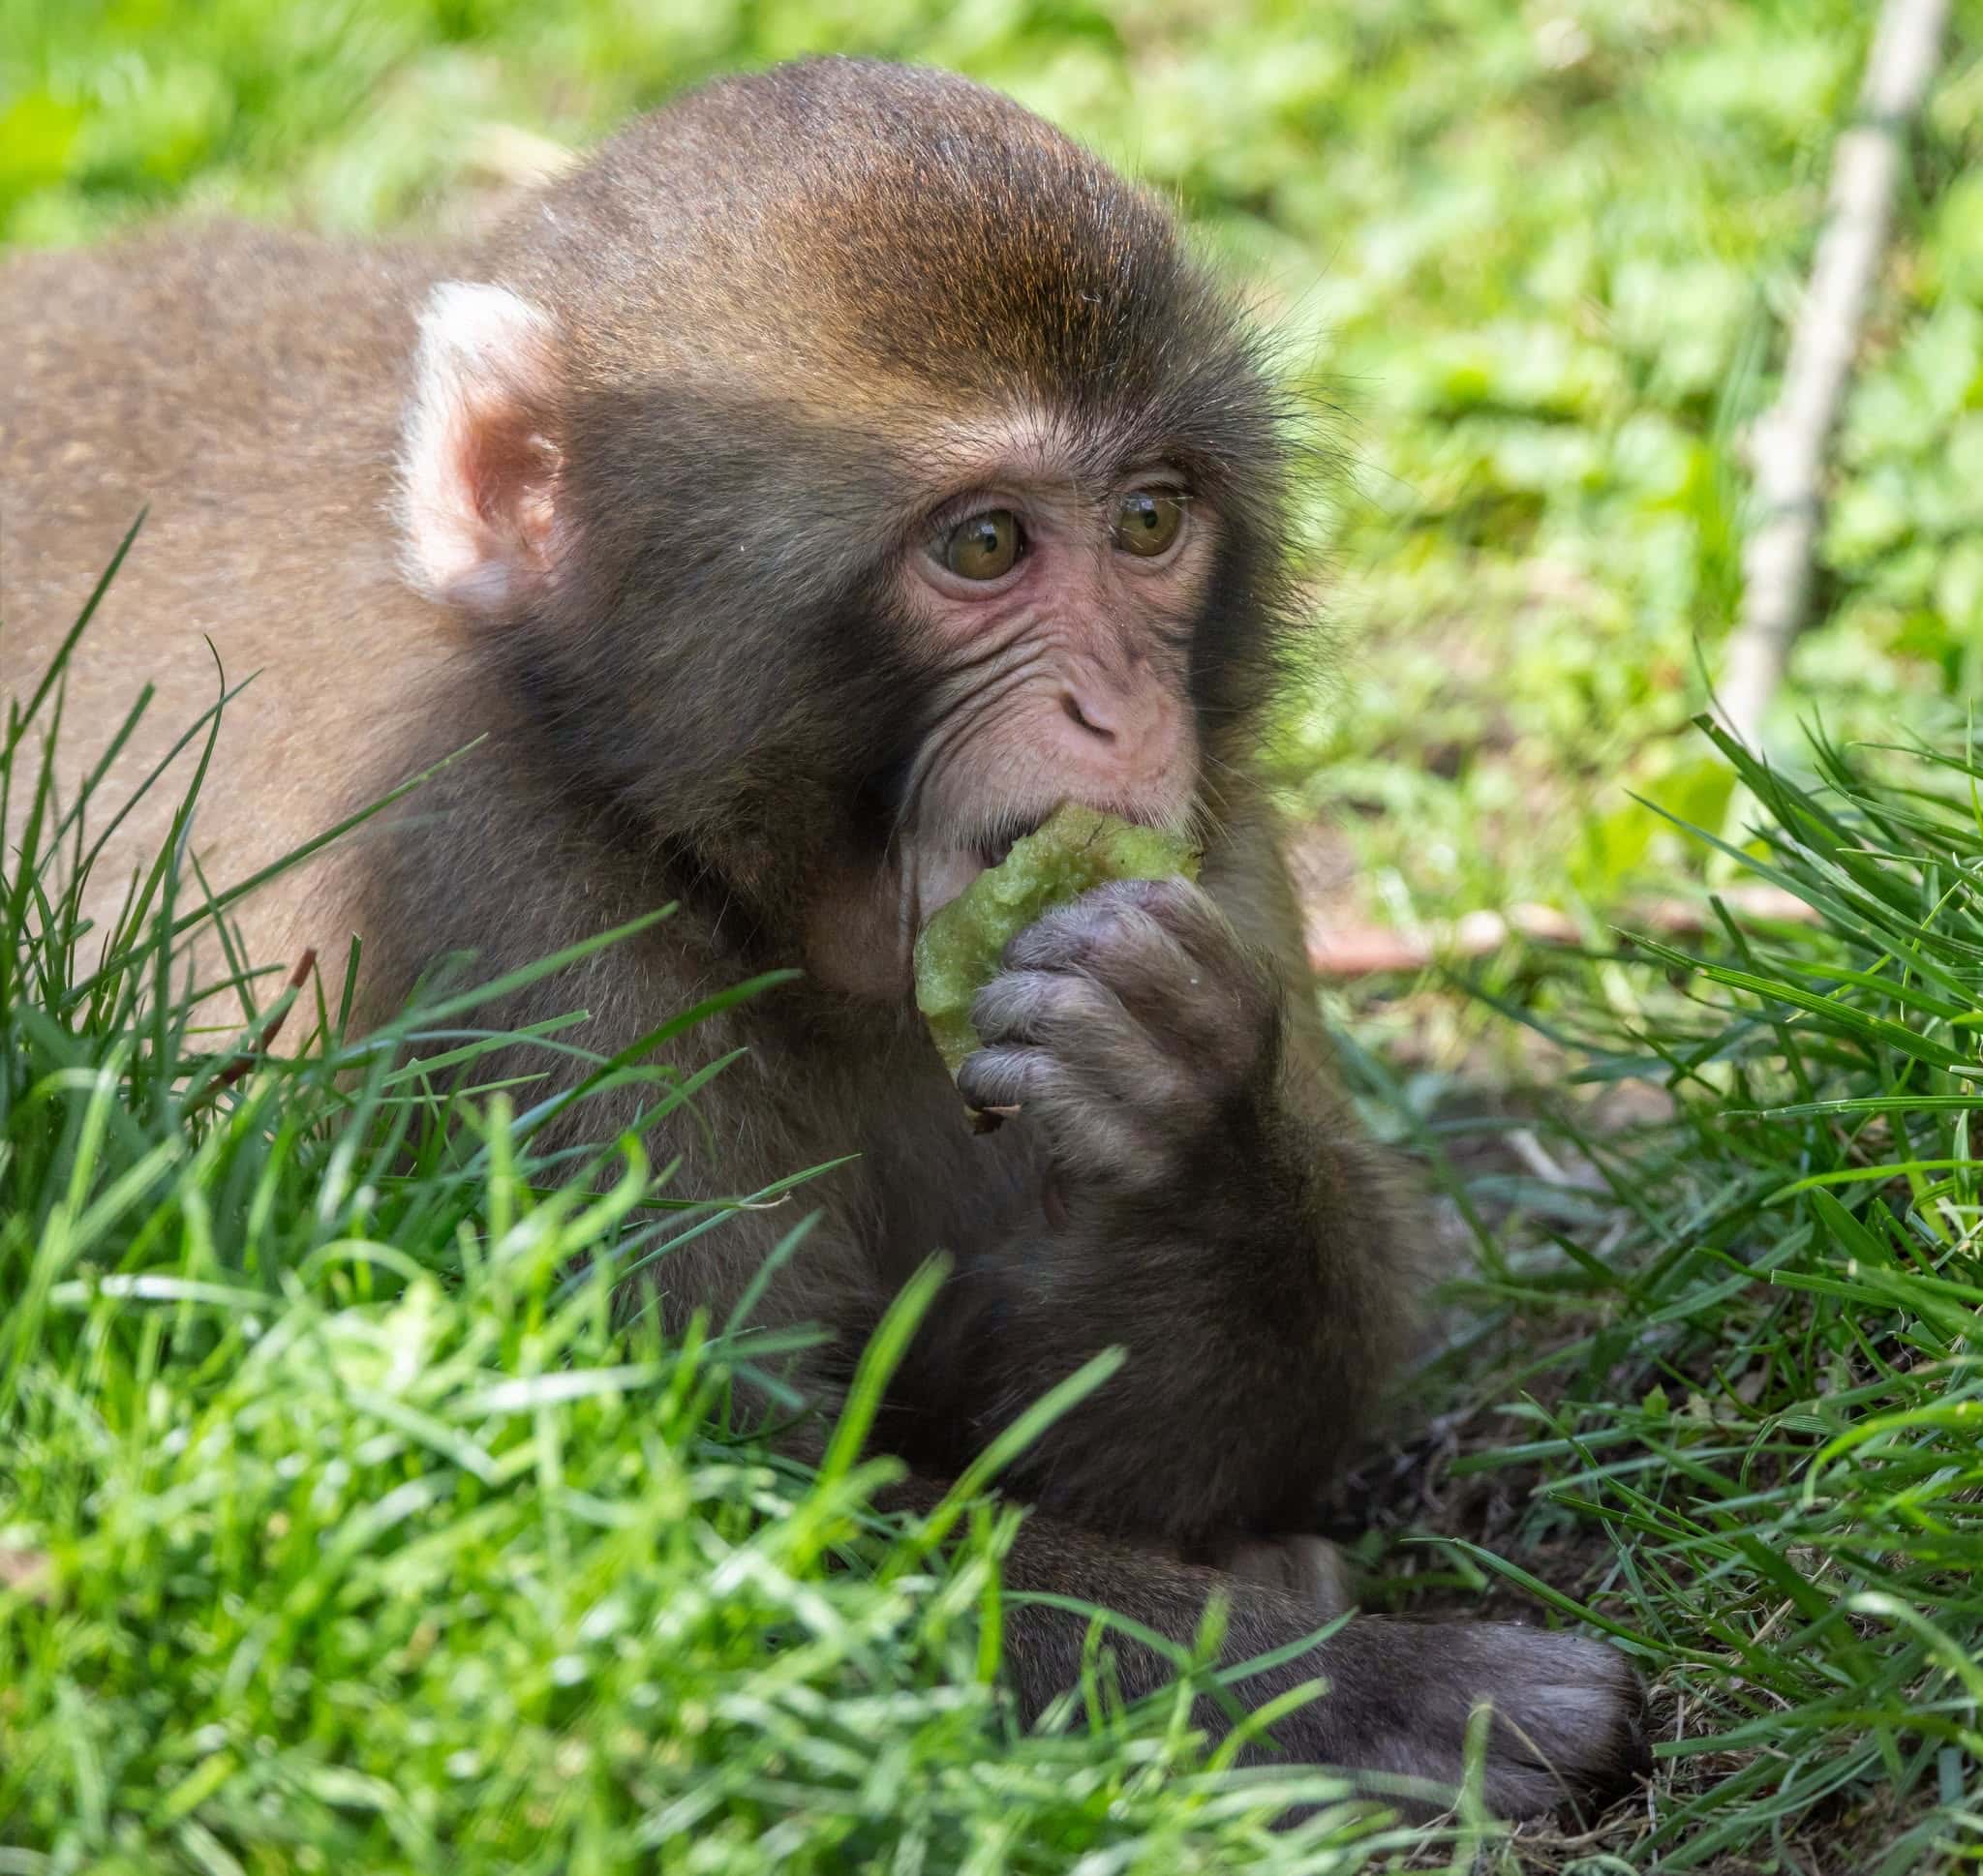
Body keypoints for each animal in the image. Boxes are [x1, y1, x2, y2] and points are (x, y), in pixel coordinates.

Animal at [0, 58, 1647, 1818]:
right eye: (984, 545)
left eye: (1148, 521)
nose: (1118, 710)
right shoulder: (491, 902)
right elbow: (660, 1518)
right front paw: (1404, 1688)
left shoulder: (1229, 855)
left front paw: (1188, 1098)